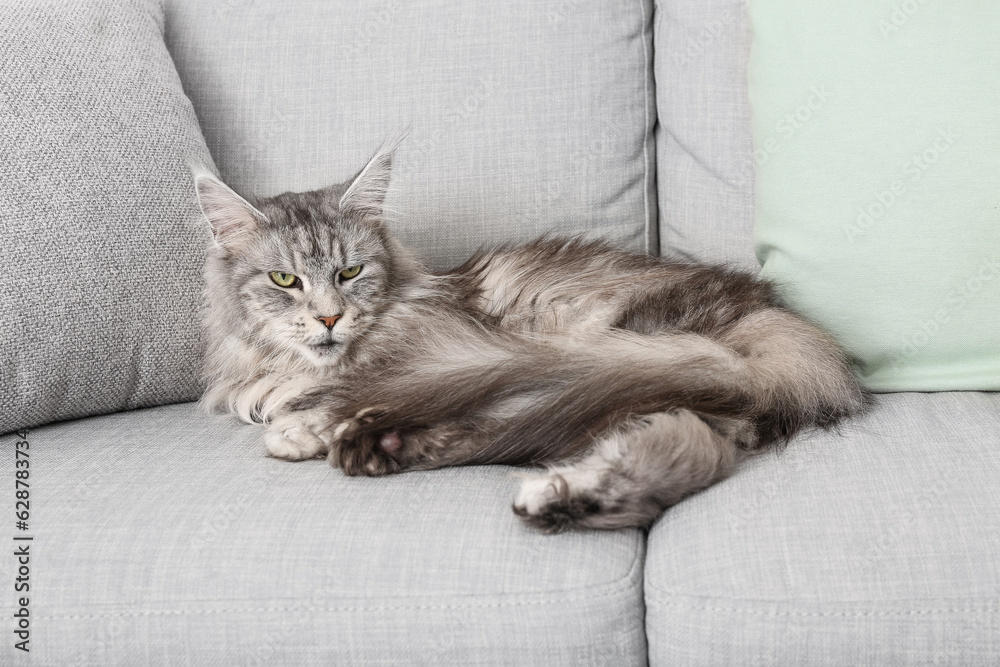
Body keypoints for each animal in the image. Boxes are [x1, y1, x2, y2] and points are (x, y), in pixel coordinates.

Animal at [195, 140, 868, 532]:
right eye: (285, 279)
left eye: (349, 273)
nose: (329, 318)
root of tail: (779, 325)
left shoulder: (419, 356)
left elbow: (329, 397)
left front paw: (297, 426)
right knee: (679, 450)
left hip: (600, 355)